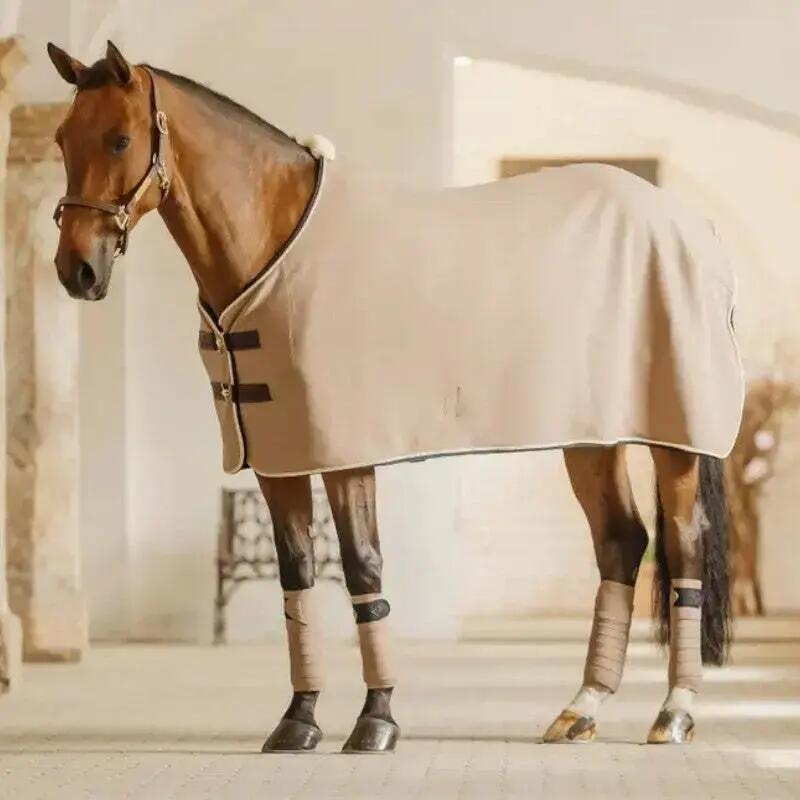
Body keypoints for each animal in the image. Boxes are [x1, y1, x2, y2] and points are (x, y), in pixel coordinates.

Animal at [47, 41, 740, 753]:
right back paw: (582, 708)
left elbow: (362, 569)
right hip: (591, 436)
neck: (275, 242)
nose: (77, 271)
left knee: (683, 545)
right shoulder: (277, 456)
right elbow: (298, 575)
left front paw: (376, 720)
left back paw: (674, 713)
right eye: (61, 138)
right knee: (622, 543)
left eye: (121, 137)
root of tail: (692, 225)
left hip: (675, 437)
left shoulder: (344, 452)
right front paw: (298, 721)